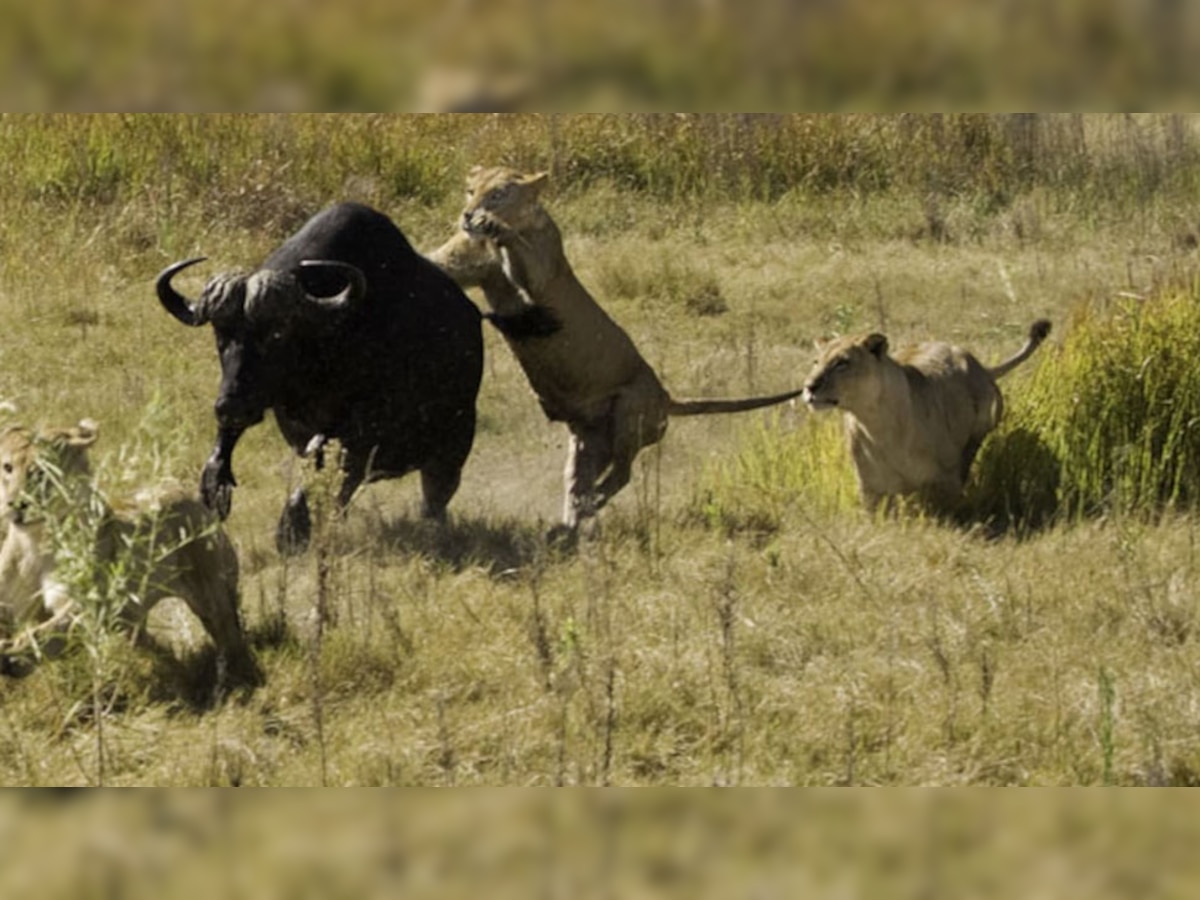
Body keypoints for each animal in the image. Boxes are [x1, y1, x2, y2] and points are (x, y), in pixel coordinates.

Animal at [0, 420, 260, 686]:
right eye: (8, 467)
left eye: (43, 471)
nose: (16, 505)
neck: (35, 539)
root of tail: (188, 492)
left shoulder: (93, 606)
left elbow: (51, 630)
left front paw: (12, 656)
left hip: (212, 595)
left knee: (229, 636)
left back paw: (233, 677)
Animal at [154, 204, 482, 554]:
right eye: (221, 334)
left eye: (277, 333)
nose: (231, 406)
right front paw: (215, 482)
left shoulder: (362, 429)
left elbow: (319, 460)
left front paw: (290, 532)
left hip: (452, 448)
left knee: (434, 497)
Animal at [427, 165, 801, 532]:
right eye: (471, 190)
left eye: (498, 194)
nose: (468, 214)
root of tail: (667, 397)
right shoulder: (464, 263)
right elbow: (440, 263)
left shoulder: (541, 274)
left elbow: (521, 253)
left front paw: (495, 226)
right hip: (588, 442)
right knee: (581, 480)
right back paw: (572, 520)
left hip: (628, 415)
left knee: (624, 473)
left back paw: (590, 504)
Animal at [806, 319, 1051, 513]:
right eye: (816, 362)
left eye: (842, 363)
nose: (809, 386)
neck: (875, 422)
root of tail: (980, 366)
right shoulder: (871, 488)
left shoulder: (945, 481)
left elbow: (946, 515)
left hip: (977, 435)